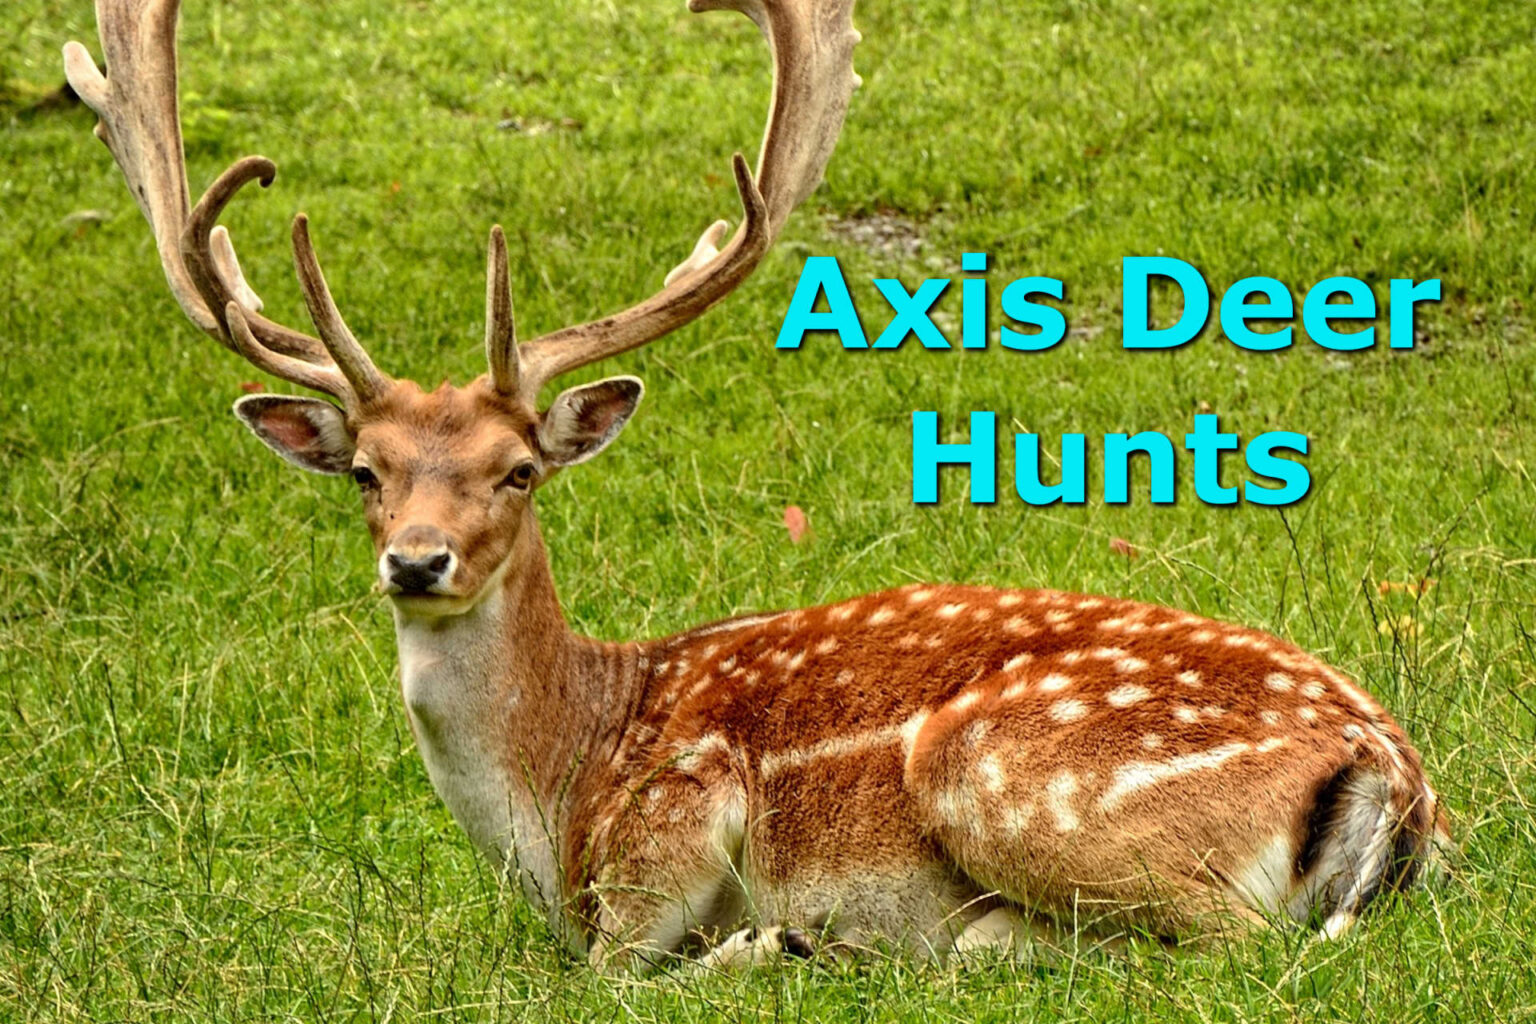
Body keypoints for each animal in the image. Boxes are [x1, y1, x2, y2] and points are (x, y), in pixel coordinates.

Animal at [65, 0, 1449, 974]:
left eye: (518, 470)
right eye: (366, 468)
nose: (416, 559)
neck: (560, 788)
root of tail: (1395, 771)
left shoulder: (672, 820)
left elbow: (617, 972)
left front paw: (763, 938)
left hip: (1005, 775)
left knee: (1230, 944)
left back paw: (935, 941)